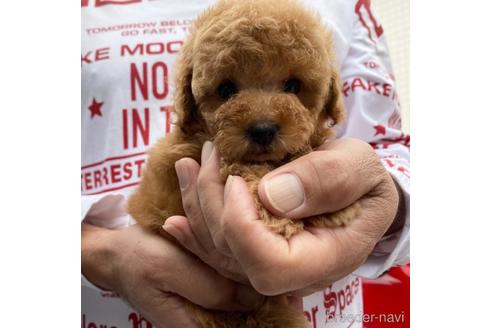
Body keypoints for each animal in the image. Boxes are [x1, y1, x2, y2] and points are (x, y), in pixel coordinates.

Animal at [129, 1, 360, 326]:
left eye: (293, 85)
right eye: (226, 90)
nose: (262, 130)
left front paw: (331, 202)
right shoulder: (205, 152)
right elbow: (250, 168)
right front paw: (280, 216)